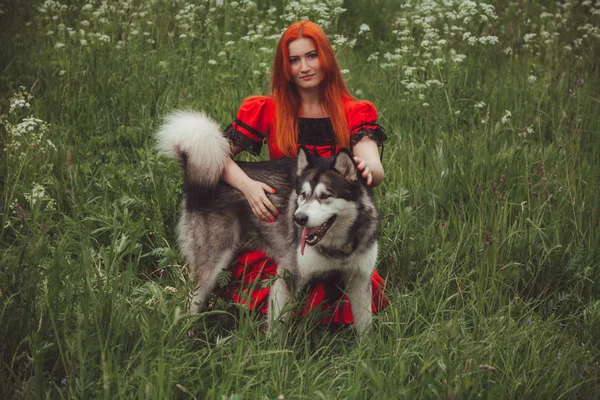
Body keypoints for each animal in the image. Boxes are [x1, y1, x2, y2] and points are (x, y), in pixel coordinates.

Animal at [155, 111, 380, 332]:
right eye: (303, 194)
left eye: (325, 196)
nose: (298, 218)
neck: (339, 246)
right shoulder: (288, 276)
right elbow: (277, 328)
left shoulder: (360, 279)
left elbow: (366, 325)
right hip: (211, 266)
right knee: (190, 303)